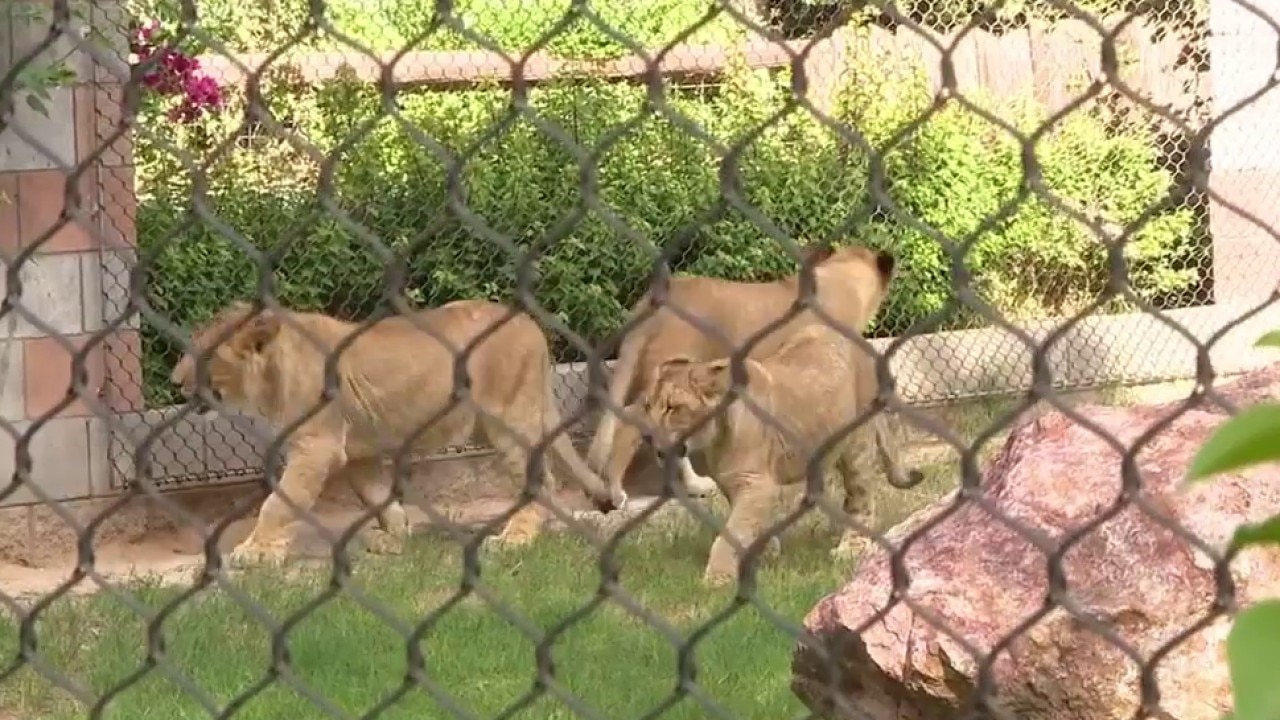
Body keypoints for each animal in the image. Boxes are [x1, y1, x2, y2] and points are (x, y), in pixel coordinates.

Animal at [169, 299, 624, 567]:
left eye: (204, 357)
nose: (174, 381)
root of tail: (531, 325)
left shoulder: (317, 447)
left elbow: (280, 502)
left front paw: (255, 552)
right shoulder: (359, 452)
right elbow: (378, 498)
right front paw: (395, 538)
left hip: (506, 421)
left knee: (541, 479)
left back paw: (517, 538)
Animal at [635, 321, 922, 585]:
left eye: (672, 407)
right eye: (648, 406)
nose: (646, 436)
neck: (713, 440)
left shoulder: (756, 483)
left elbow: (733, 531)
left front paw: (717, 579)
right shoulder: (734, 483)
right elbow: (749, 522)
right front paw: (767, 550)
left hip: (857, 443)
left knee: (861, 498)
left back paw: (850, 547)